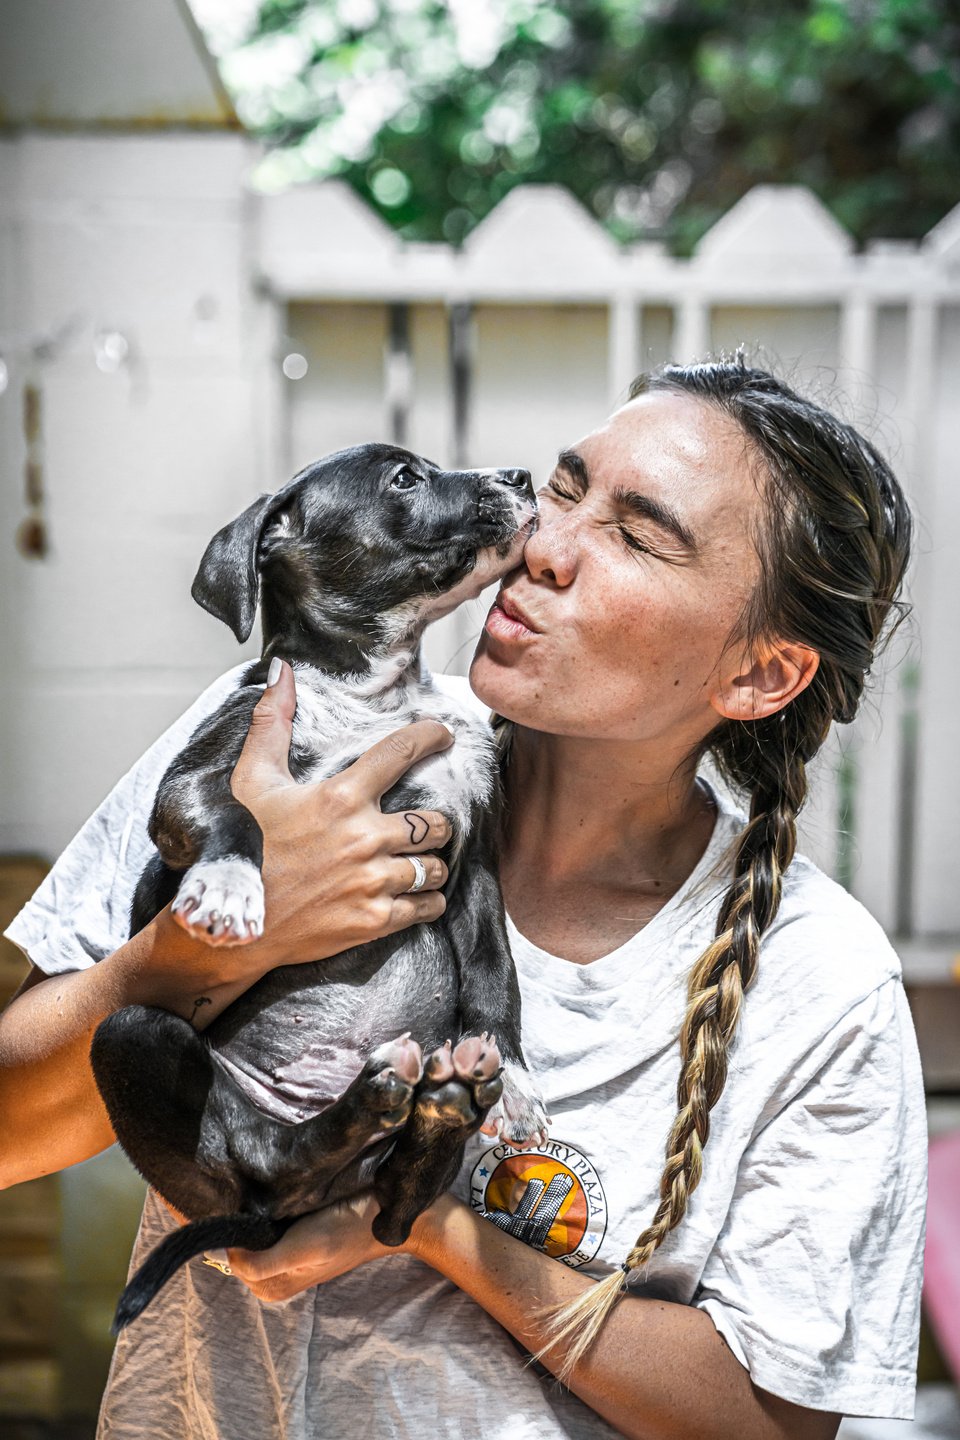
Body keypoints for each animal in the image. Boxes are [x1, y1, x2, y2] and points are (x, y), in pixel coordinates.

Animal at [95, 443, 555, 1330]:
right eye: (405, 478)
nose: (521, 477)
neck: (370, 695)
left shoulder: (473, 860)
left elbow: (493, 974)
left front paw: (514, 1074)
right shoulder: (196, 781)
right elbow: (233, 814)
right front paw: (231, 885)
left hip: (370, 1181)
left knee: (394, 1210)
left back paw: (443, 1102)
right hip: (134, 1040)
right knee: (262, 1162)